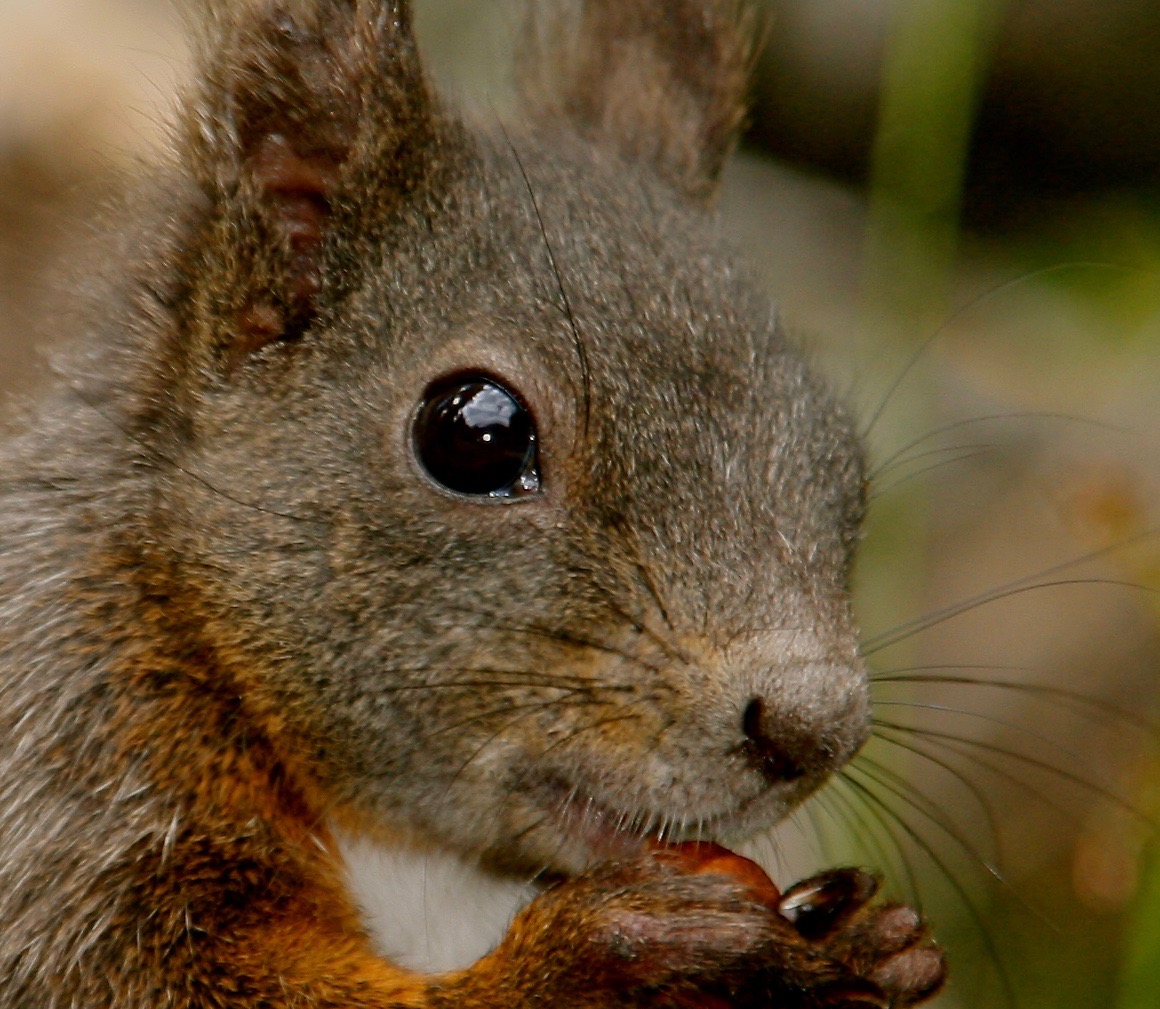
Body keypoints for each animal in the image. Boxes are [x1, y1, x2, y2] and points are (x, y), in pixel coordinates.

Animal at [0, 1, 946, 1009]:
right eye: (476, 433)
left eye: (842, 462)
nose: (817, 728)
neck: (416, 853)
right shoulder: (70, 761)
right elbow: (139, 976)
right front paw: (626, 958)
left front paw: (873, 942)